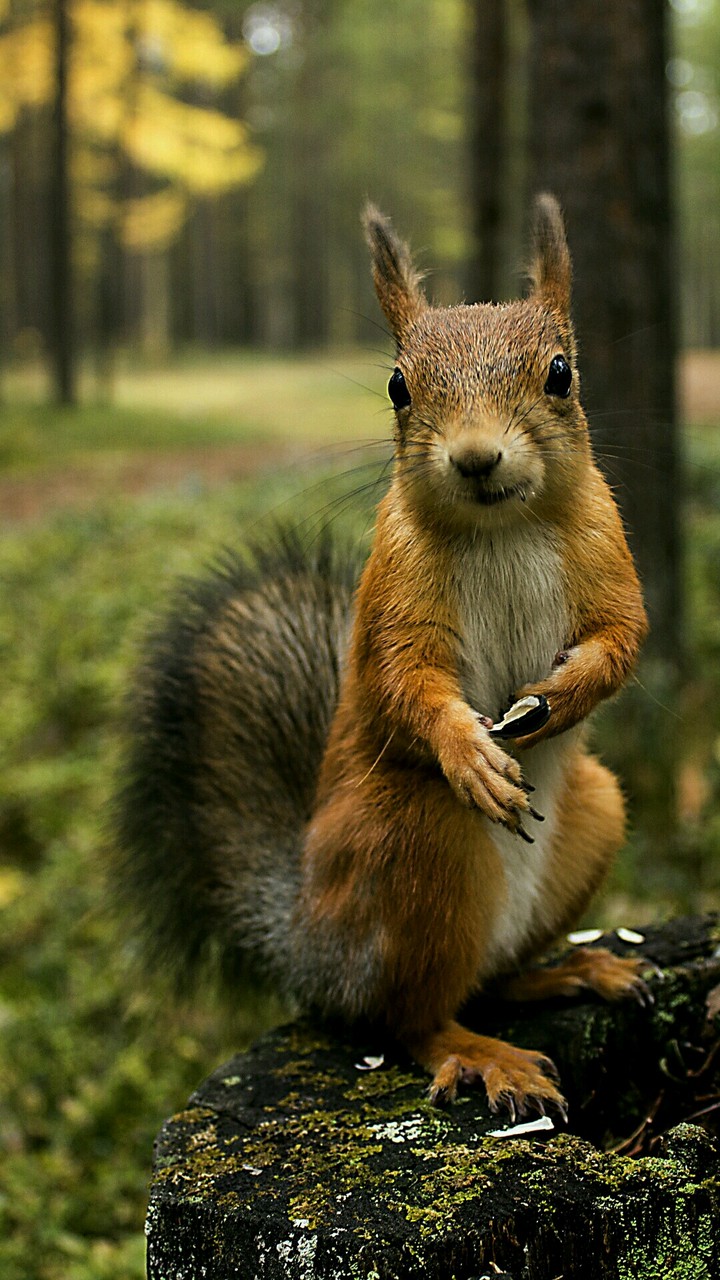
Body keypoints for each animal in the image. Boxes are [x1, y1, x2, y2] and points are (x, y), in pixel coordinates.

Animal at [114, 194, 648, 1118]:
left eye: (561, 373)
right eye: (399, 386)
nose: (476, 457)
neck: (503, 527)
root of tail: (310, 948)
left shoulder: (608, 555)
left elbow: (622, 638)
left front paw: (563, 696)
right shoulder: (395, 594)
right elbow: (405, 682)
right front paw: (470, 751)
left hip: (595, 814)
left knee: (488, 980)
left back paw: (571, 971)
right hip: (412, 841)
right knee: (408, 1016)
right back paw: (481, 1053)